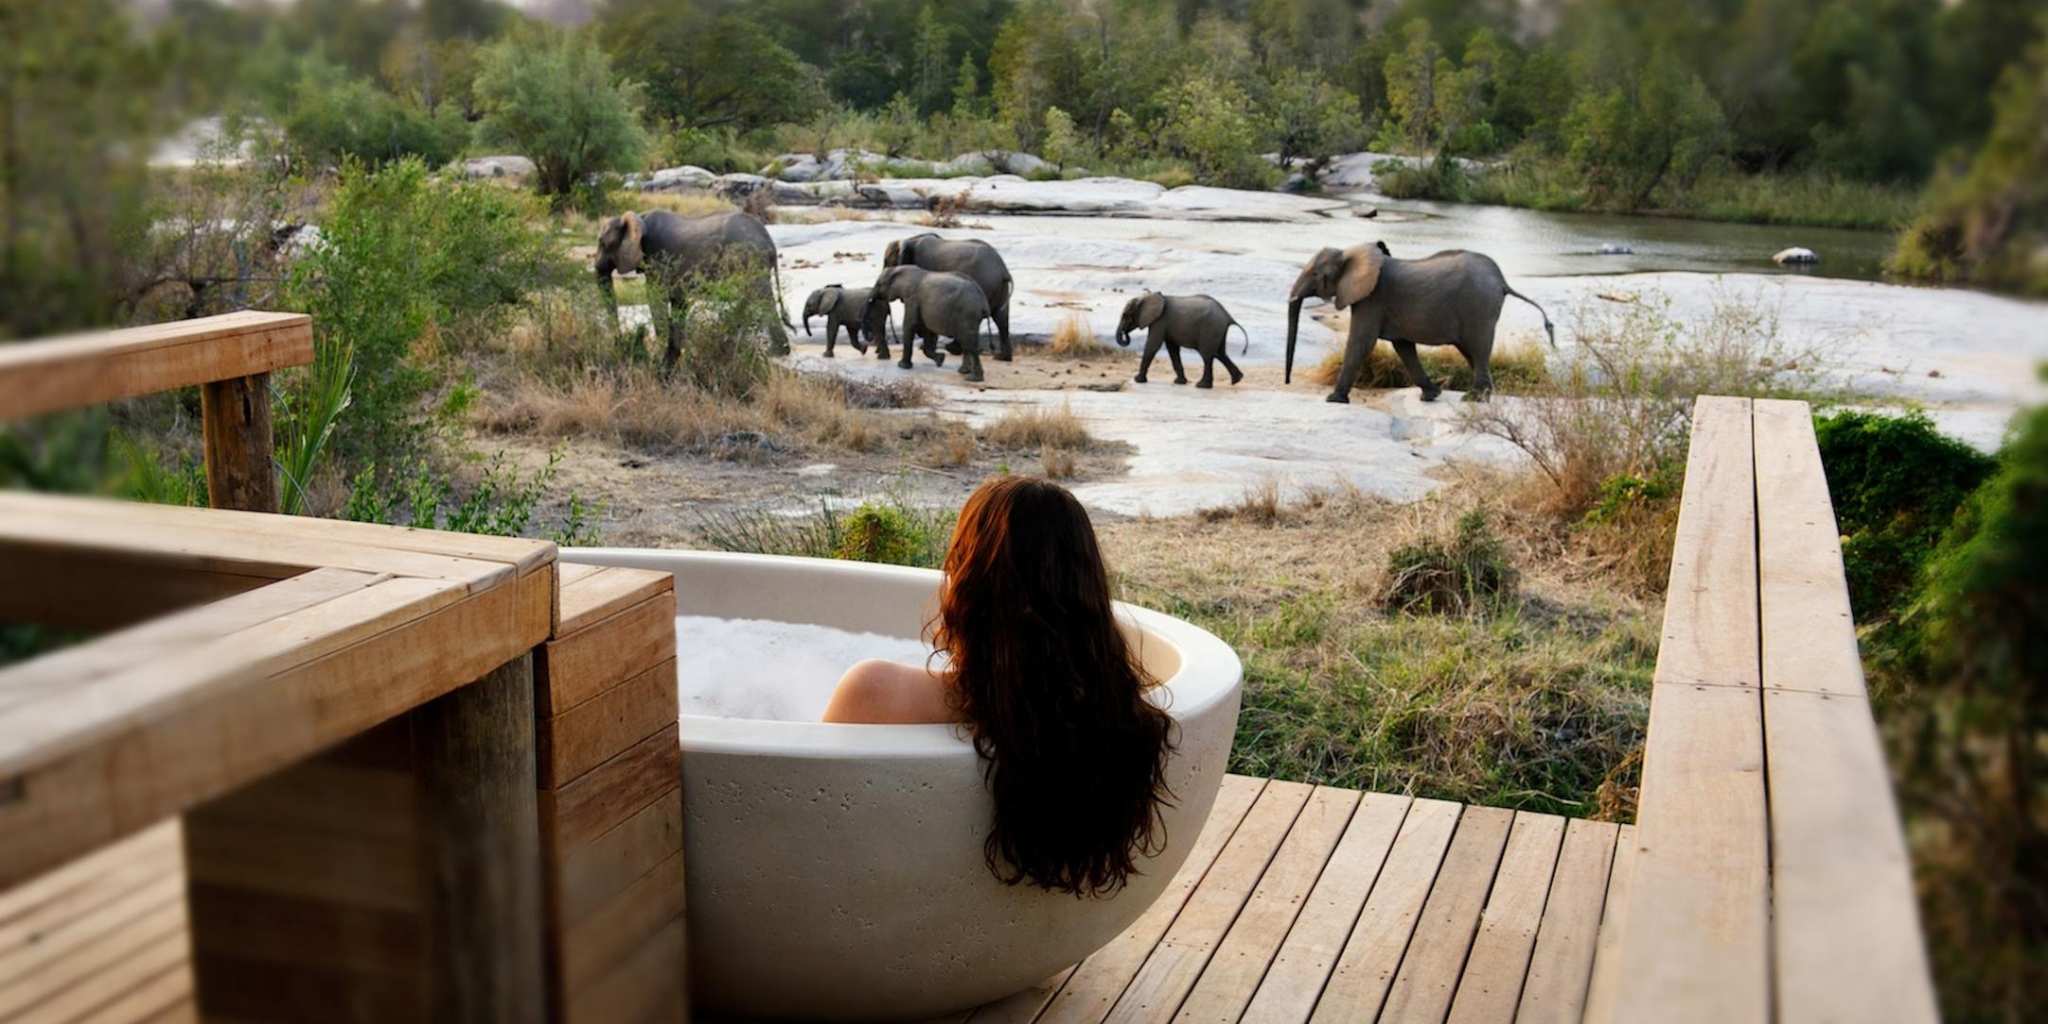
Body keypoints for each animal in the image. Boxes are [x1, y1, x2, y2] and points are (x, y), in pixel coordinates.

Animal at [595, 209, 795, 374]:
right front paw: (671, 360)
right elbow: (678, 301)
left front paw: (659, 360)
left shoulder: (658, 258)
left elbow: (656, 296)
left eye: (602, 243)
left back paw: (774, 352)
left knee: (761, 297)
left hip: (750, 258)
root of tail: (771, 244)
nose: (619, 342)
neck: (639, 217)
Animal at [862, 266, 994, 381]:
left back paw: (973, 378)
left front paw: (902, 366)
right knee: (966, 342)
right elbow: (928, 331)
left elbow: (910, 326)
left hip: (967, 313)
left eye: (878, 284)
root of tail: (984, 303)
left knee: (969, 344)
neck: (901, 269)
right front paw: (941, 360)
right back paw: (963, 371)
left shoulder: (912, 299)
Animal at [882, 233, 1014, 361]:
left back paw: (952, 349)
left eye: (887, 263)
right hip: (1000, 288)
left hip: (985, 284)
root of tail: (1003, 270)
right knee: (1001, 319)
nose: (896, 340)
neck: (910, 239)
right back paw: (1002, 357)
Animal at [1115, 292, 1250, 388]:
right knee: (1220, 353)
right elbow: (1172, 349)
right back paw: (1236, 380)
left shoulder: (1160, 321)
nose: (1125, 334)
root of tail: (1228, 316)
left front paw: (1137, 380)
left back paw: (1202, 386)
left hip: (1210, 328)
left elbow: (1153, 346)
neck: (1146, 297)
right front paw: (1179, 382)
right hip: (1217, 330)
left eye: (1126, 315)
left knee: (1207, 356)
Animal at [1285, 242, 1555, 403]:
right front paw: (1431, 395)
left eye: (1315, 274)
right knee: (1473, 351)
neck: (1352, 253)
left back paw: (1473, 399)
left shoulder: (1372, 299)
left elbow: (1361, 342)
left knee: (1478, 347)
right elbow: (1403, 346)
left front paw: (1333, 399)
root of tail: (1502, 281)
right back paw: (1487, 396)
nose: (1287, 382)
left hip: (1478, 305)